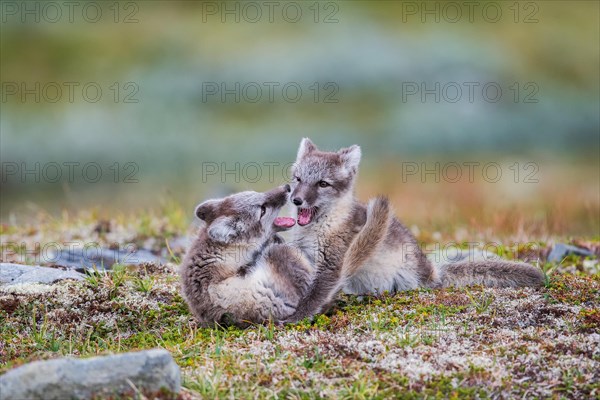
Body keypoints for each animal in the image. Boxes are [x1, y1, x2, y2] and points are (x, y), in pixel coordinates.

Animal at [288, 138, 548, 304]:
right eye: (298, 178)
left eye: (323, 183)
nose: (296, 200)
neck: (317, 229)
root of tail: (432, 272)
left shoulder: (332, 262)